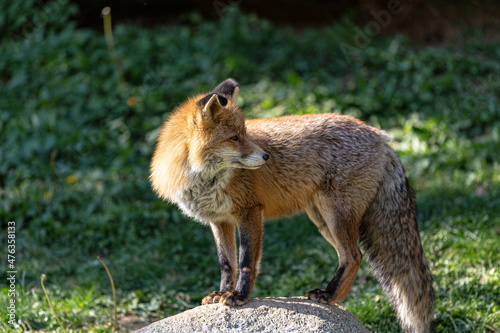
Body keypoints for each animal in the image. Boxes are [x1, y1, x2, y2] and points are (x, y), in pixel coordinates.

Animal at [148, 78, 434, 332]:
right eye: (234, 138)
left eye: (244, 134)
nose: (266, 156)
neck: (204, 179)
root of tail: (382, 137)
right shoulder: (219, 219)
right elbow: (226, 263)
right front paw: (222, 292)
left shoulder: (250, 211)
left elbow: (245, 260)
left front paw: (239, 296)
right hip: (322, 220)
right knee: (350, 257)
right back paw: (335, 299)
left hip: (335, 215)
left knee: (354, 256)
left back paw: (328, 295)